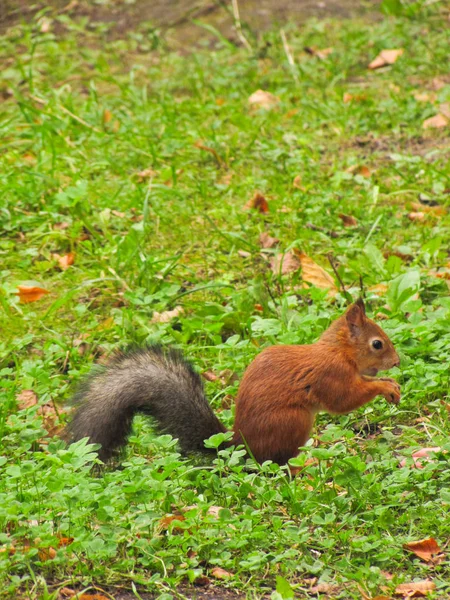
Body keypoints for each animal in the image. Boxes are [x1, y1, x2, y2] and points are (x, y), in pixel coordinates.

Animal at [67, 300, 400, 464]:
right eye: (377, 344)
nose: (397, 362)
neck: (338, 351)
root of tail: (238, 445)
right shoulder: (331, 375)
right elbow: (343, 400)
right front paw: (386, 387)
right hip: (292, 422)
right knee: (275, 463)